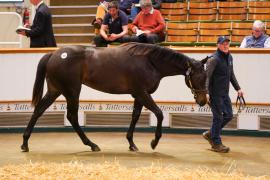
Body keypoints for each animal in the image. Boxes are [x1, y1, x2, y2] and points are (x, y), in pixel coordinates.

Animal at [21, 42, 209, 152]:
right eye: (197, 78)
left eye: (206, 77)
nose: (203, 101)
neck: (149, 61)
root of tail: (54, 54)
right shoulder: (142, 93)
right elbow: (159, 114)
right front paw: (154, 142)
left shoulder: (139, 95)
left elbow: (135, 116)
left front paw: (131, 144)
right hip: (72, 91)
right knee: (72, 116)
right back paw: (92, 144)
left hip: (55, 90)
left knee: (38, 110)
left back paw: (25, 143)